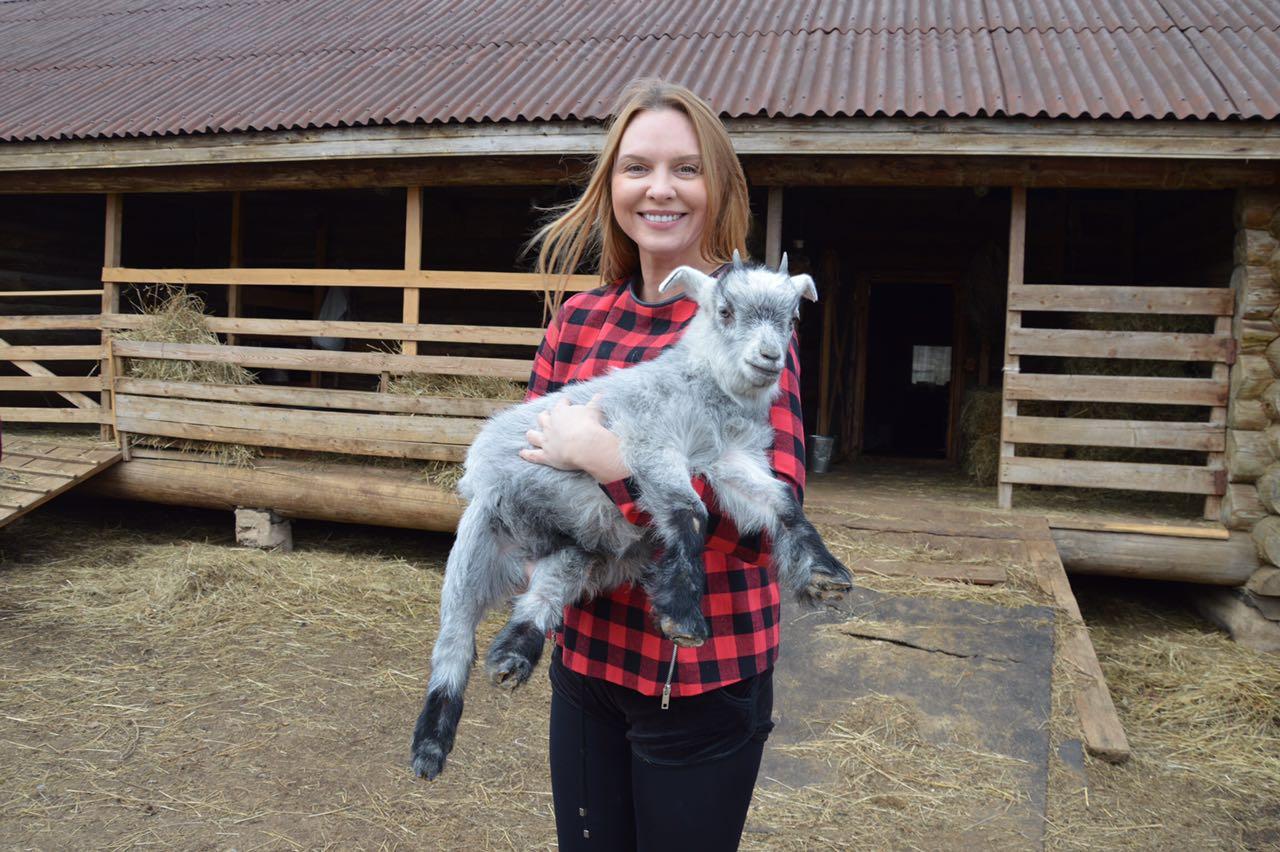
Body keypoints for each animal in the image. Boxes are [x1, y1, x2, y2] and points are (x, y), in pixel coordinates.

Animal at [409, 252, 849, 777]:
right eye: (725, 311)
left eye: (793, 318)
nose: (769, 357)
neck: (702, 390)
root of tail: (531, 546)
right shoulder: (652, 443)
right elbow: (689, 511)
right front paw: (683, 615)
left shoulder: (729, 459)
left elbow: (782, 498)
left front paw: (824, 572)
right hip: (479, 538)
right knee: (453, 641)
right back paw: (431, 743)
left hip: (583, 551)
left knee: (545, 592)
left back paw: (515, 653)